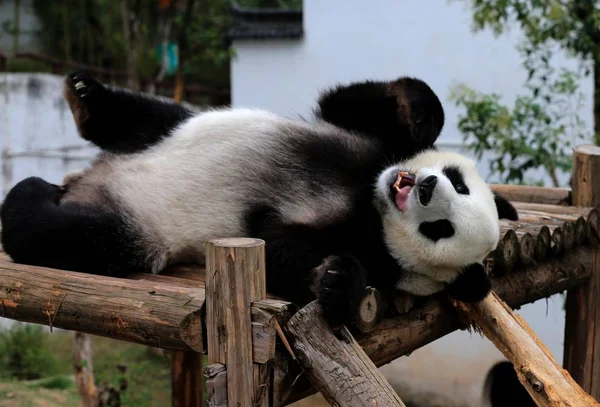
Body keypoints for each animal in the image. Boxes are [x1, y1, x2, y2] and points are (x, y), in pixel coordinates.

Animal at [0, 71, 516, 330]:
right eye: (458, 182)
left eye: (439, 230)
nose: (426, 188)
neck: (368, 200)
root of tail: (90, 180)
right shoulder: (367, 144)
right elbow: (349, 103)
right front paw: (419, 113)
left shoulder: (372, 248)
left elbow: (276, 247)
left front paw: (336, 281)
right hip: (167, 130)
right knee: (139, 117)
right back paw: (84, 97)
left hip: (134, 231)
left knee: (64, 235)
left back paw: (31, 192)